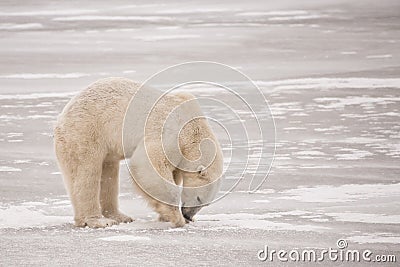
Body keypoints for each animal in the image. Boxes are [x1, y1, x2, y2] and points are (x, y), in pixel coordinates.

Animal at [53, 77, 223, 228]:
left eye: (205, 203)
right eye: (199, 198)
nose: (188, 215)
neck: (193, 128)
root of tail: (62, 117)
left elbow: (173, 172)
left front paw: (168, 216)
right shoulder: (169, 134)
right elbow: (149, 164)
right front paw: (176, 217)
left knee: (108, 172)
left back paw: (119, 216)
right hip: (85, 131)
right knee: (87, 172)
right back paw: (98, 220)